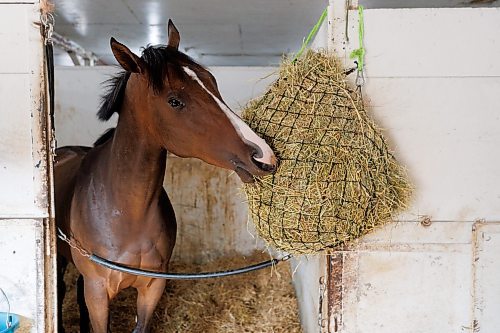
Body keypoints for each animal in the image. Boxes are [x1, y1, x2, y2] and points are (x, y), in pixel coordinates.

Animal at [54, 20, 278, 332]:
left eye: (212, 82)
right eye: (174, 101)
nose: (263, 156)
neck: (125, 213)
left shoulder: (152, 288)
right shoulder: (97, 291)